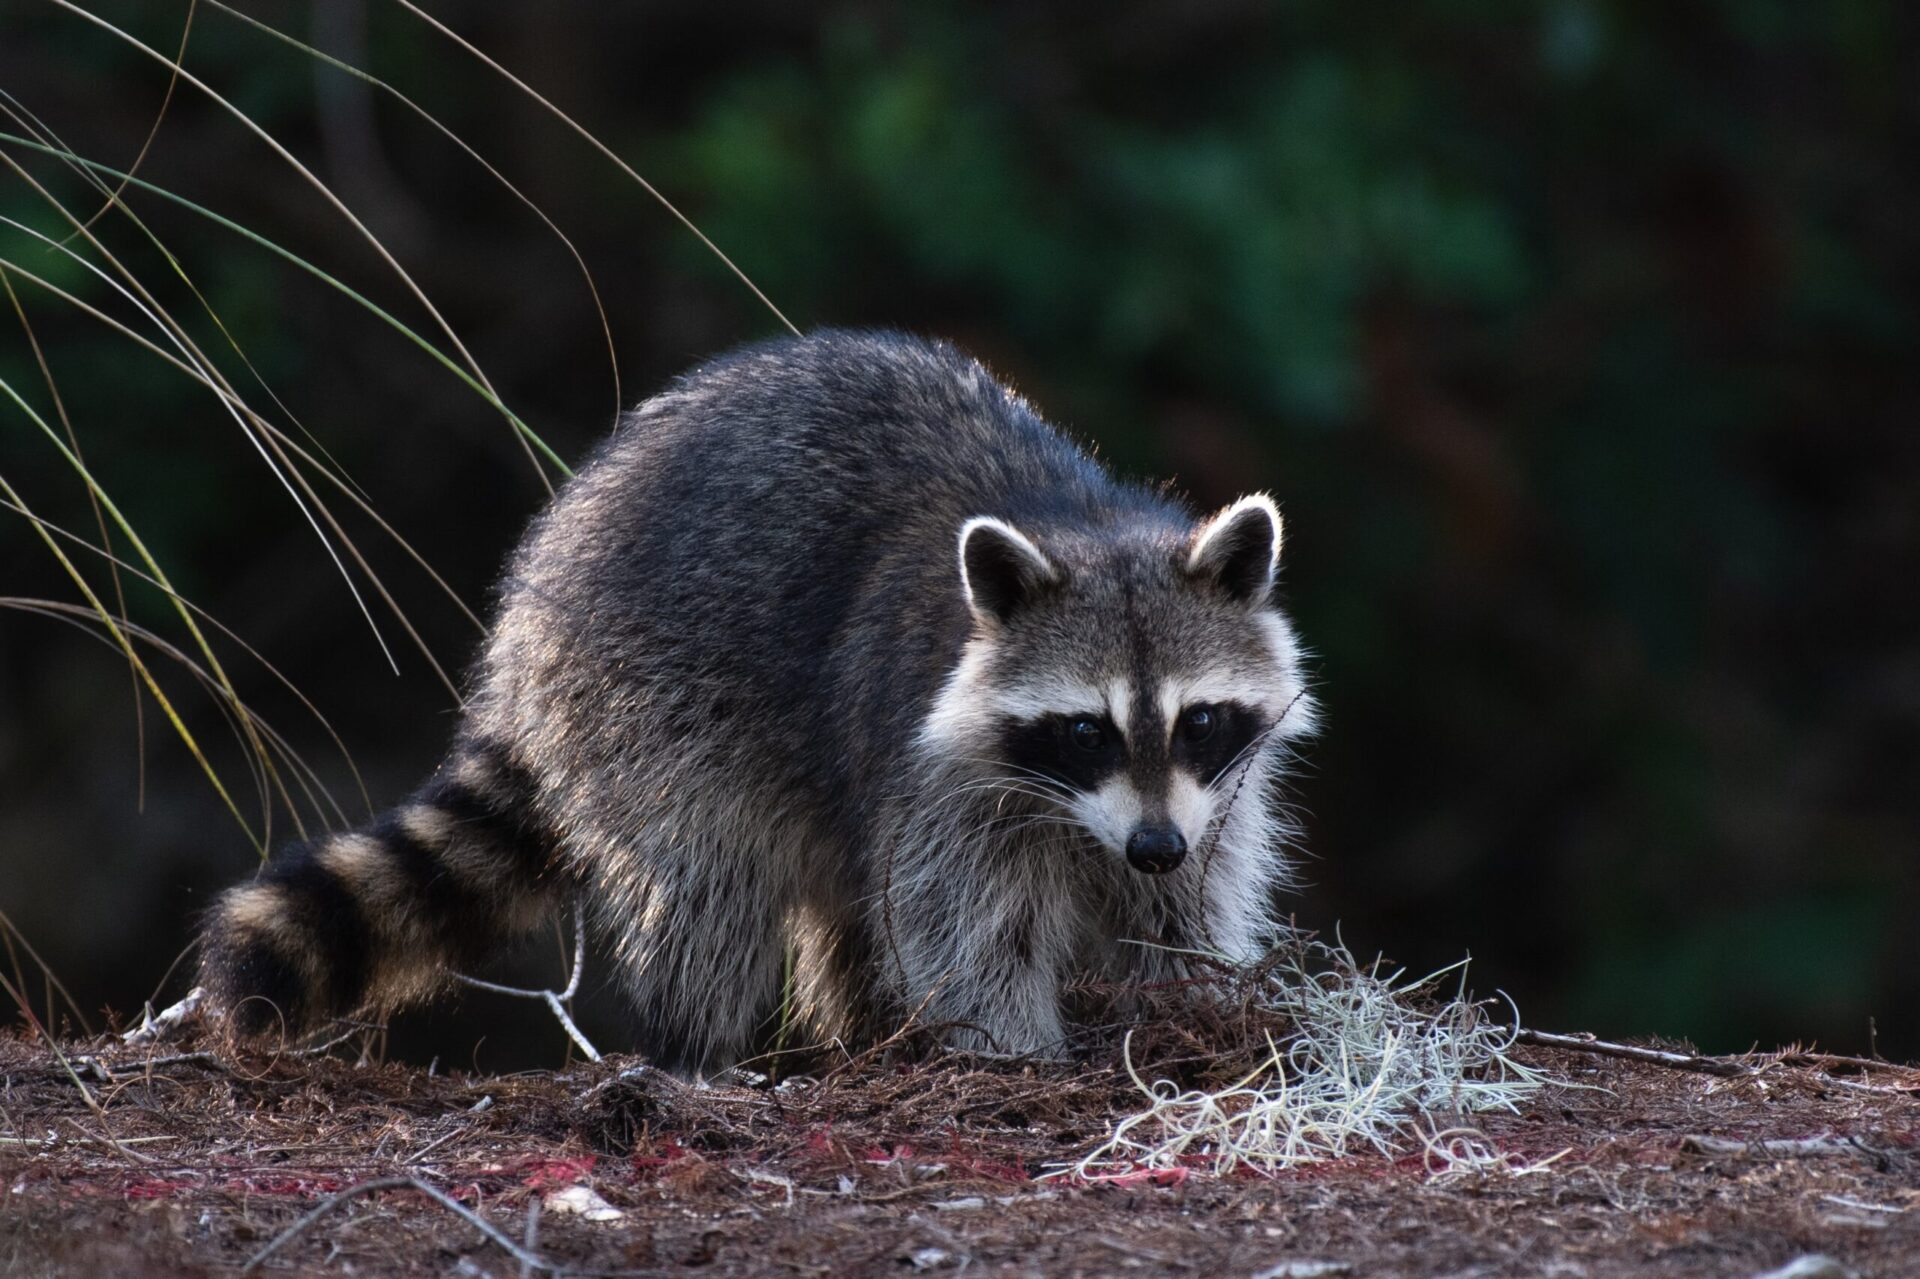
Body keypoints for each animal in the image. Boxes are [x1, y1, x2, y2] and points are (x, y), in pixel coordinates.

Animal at [206, 328, 1320, 1067]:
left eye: (1198, 719)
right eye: (1085, 730)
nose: (1152, 844)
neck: (1085, 525)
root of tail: (535, 592)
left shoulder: (1208, 793)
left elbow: (1184, 900)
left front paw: (1190, 1004)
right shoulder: (935, 766)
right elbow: (966, 924)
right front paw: (1011, 1048)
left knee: (843, 901)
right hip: (650, 700)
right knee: (712, 883)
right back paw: (700, 1049)